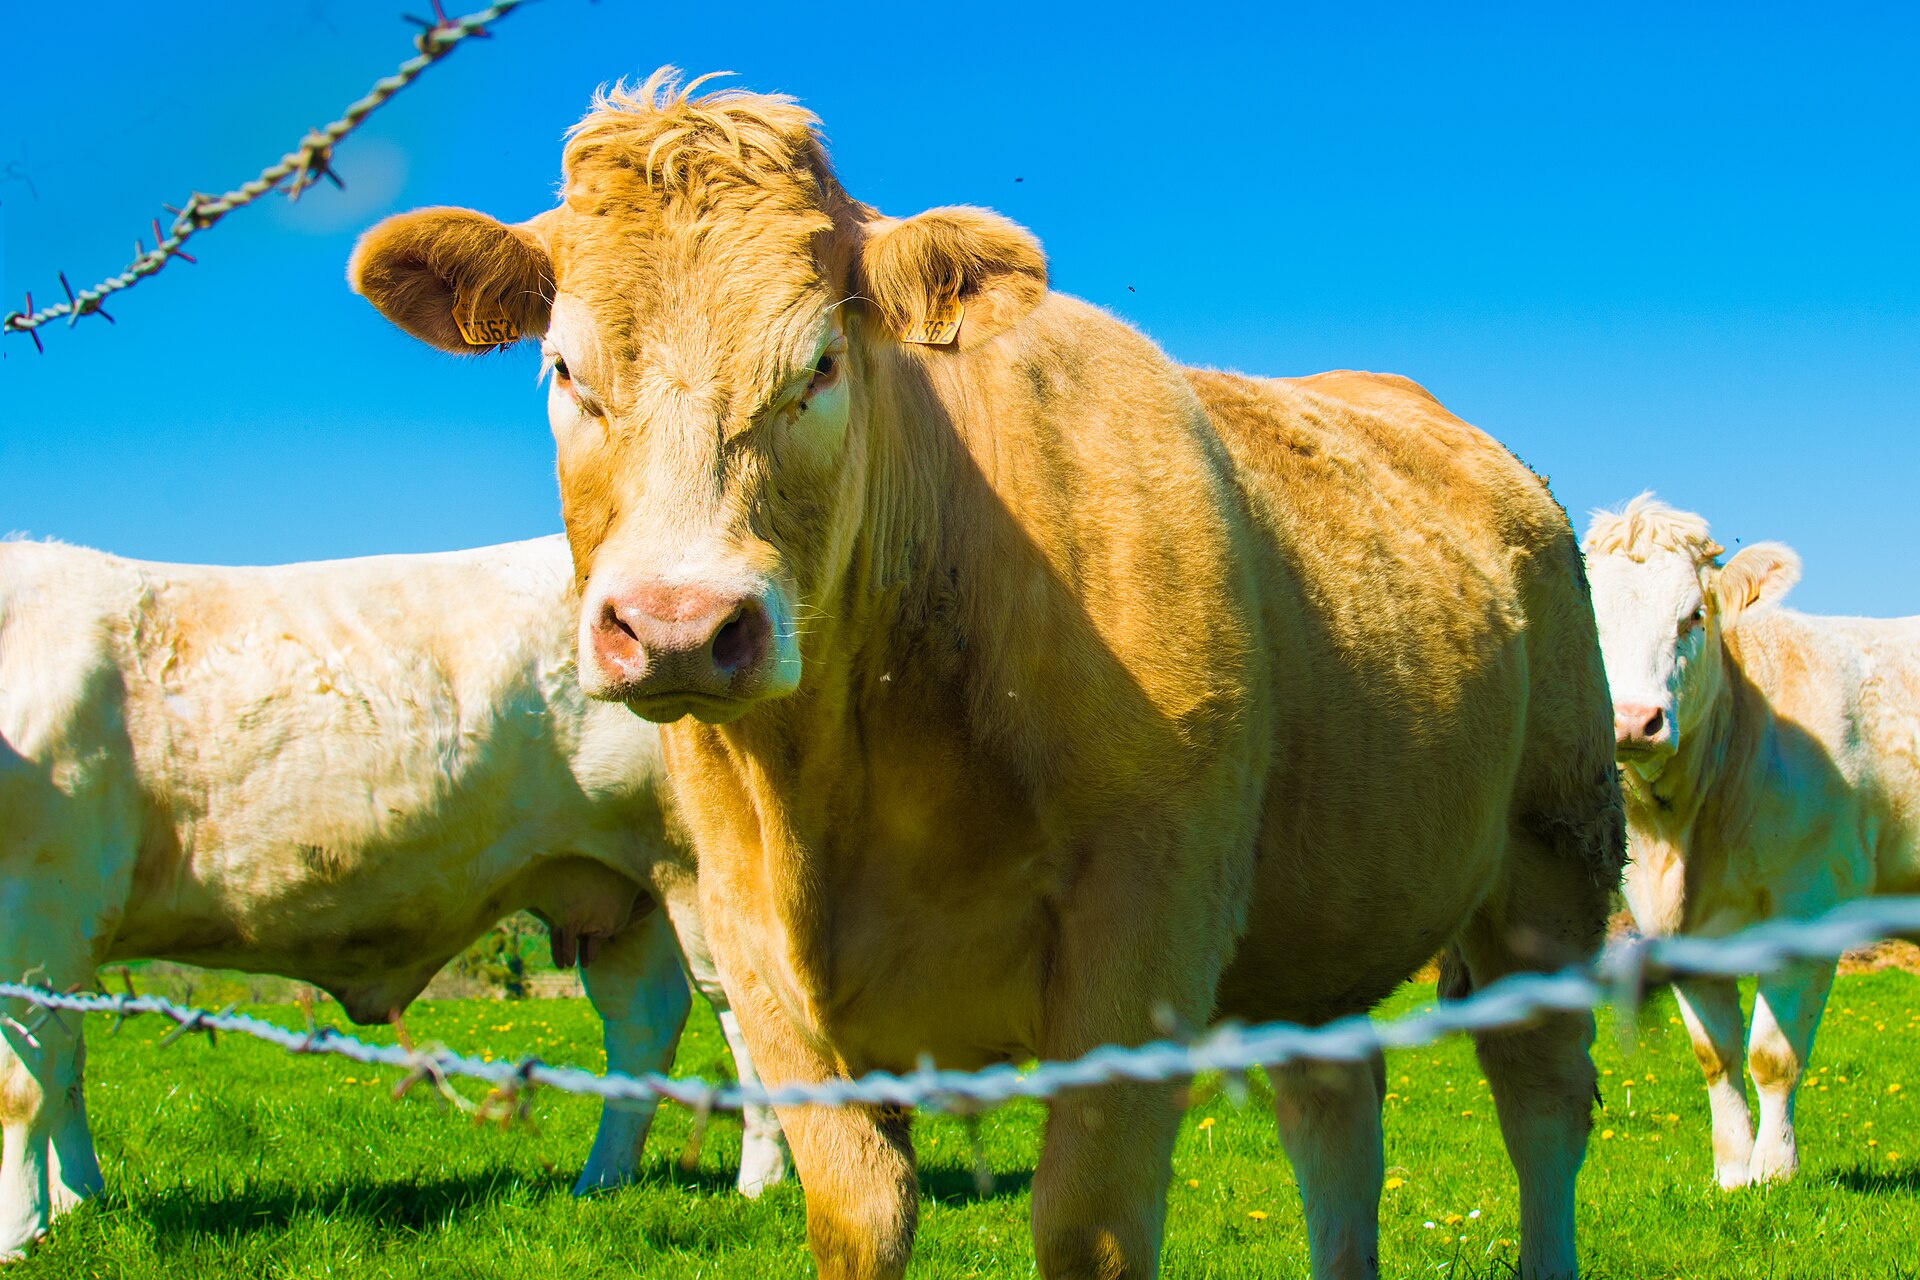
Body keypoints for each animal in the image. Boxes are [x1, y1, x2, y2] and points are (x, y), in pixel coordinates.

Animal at [0, 534, 789, 1262]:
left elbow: (23, 1084)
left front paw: (20, 1235)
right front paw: (78, 1203)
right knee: (643, 1019)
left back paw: (760, 1181)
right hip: (617, 887)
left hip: (693, 867)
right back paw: (600, 1182)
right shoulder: (62, 931)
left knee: (743, 1010)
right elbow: (65, 1070)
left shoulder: (42, 904)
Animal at [349, 70, 1624, 1280]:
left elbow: (1089, 1229)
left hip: (1554, 851)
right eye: (566, 370)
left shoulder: (1143, 926)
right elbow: (859, 1218)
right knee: (1335, 1109)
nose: (675, 625)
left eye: (819, 364)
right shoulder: (752, 939)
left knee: (1543, 1100)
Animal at [1584, 493, 1920, 1188]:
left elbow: (1772, 1055)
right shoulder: (1670, 924)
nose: (1632, 721)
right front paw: (1733, 1174)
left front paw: (1774, 1171)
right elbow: (1715, 1054)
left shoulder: (1811, 900)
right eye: (1593, 620)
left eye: (1694, 615)